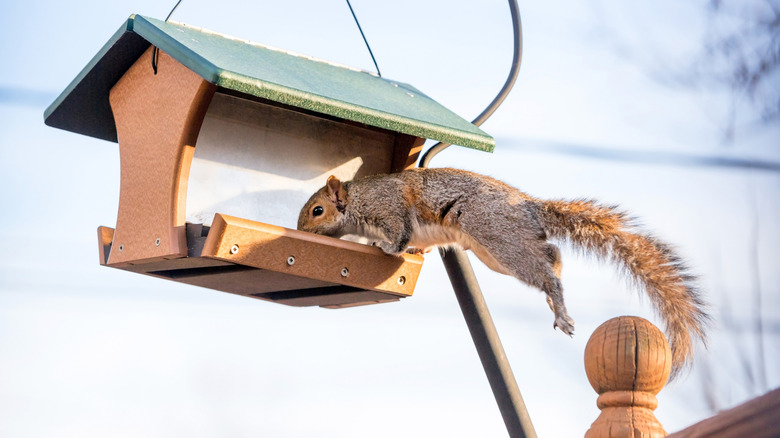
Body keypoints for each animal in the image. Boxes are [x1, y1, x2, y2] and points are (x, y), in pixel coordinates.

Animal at [297, 167, 709, 378]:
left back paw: (559, 308)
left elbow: (398, 236)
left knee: (547, 273)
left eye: (317, 210)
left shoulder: (391, 210)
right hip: (499, 251)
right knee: (552, 254)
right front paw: (415, 250)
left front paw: (386, 248)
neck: (358, 200)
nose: (299, 230)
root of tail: (529, 207)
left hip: (499, 241)